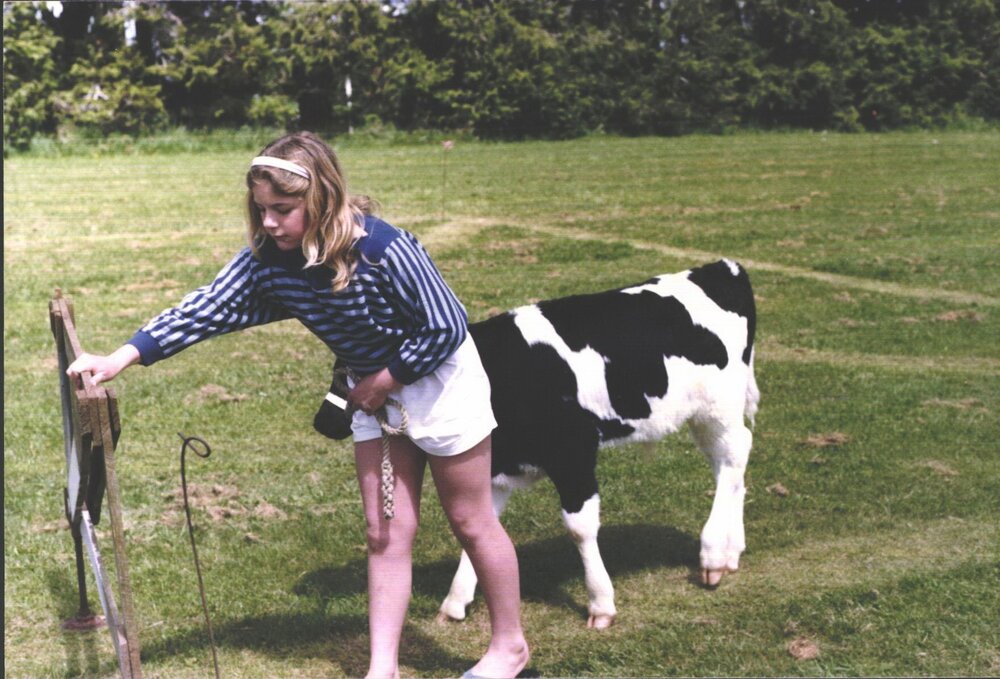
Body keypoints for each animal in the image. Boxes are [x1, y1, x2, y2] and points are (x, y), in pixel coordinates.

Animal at [314, 259, 758, 629]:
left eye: (349, 375)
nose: (322, 422)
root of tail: (720, 267)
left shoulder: (574, 454)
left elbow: (580, 528)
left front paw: (600, 603)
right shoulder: (495, 465)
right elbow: (479, 527)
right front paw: (455, 601)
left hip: (719, 407)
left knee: (735, 457)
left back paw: (713, 555)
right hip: (705, 417)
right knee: (729, 468)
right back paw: (732, 549)